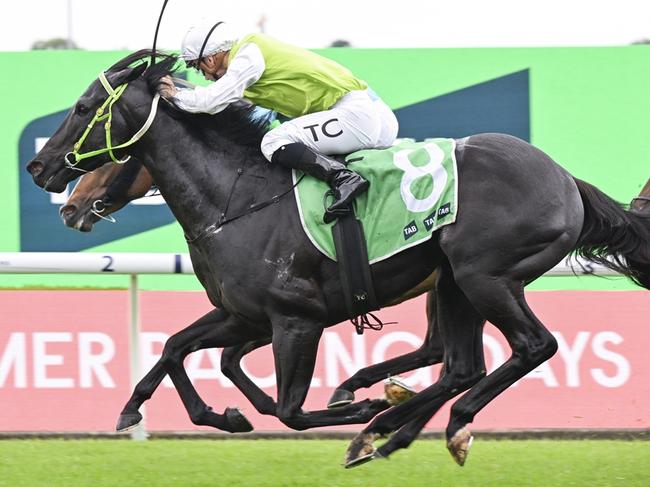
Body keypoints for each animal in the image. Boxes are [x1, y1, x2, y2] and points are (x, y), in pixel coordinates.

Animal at [26, 51, 648, 468]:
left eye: (83, 107)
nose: (42, 170)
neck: (235, 198)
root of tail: (565, 179)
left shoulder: (295, 319)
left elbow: (289, 409)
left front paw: (354, 407)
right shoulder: (245, 314)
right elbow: (180, 348)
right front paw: (191, 414)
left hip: (484, 276)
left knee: (530, 347)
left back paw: (404, 421)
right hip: (453, 281)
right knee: (459, 363)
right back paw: (396, 423)